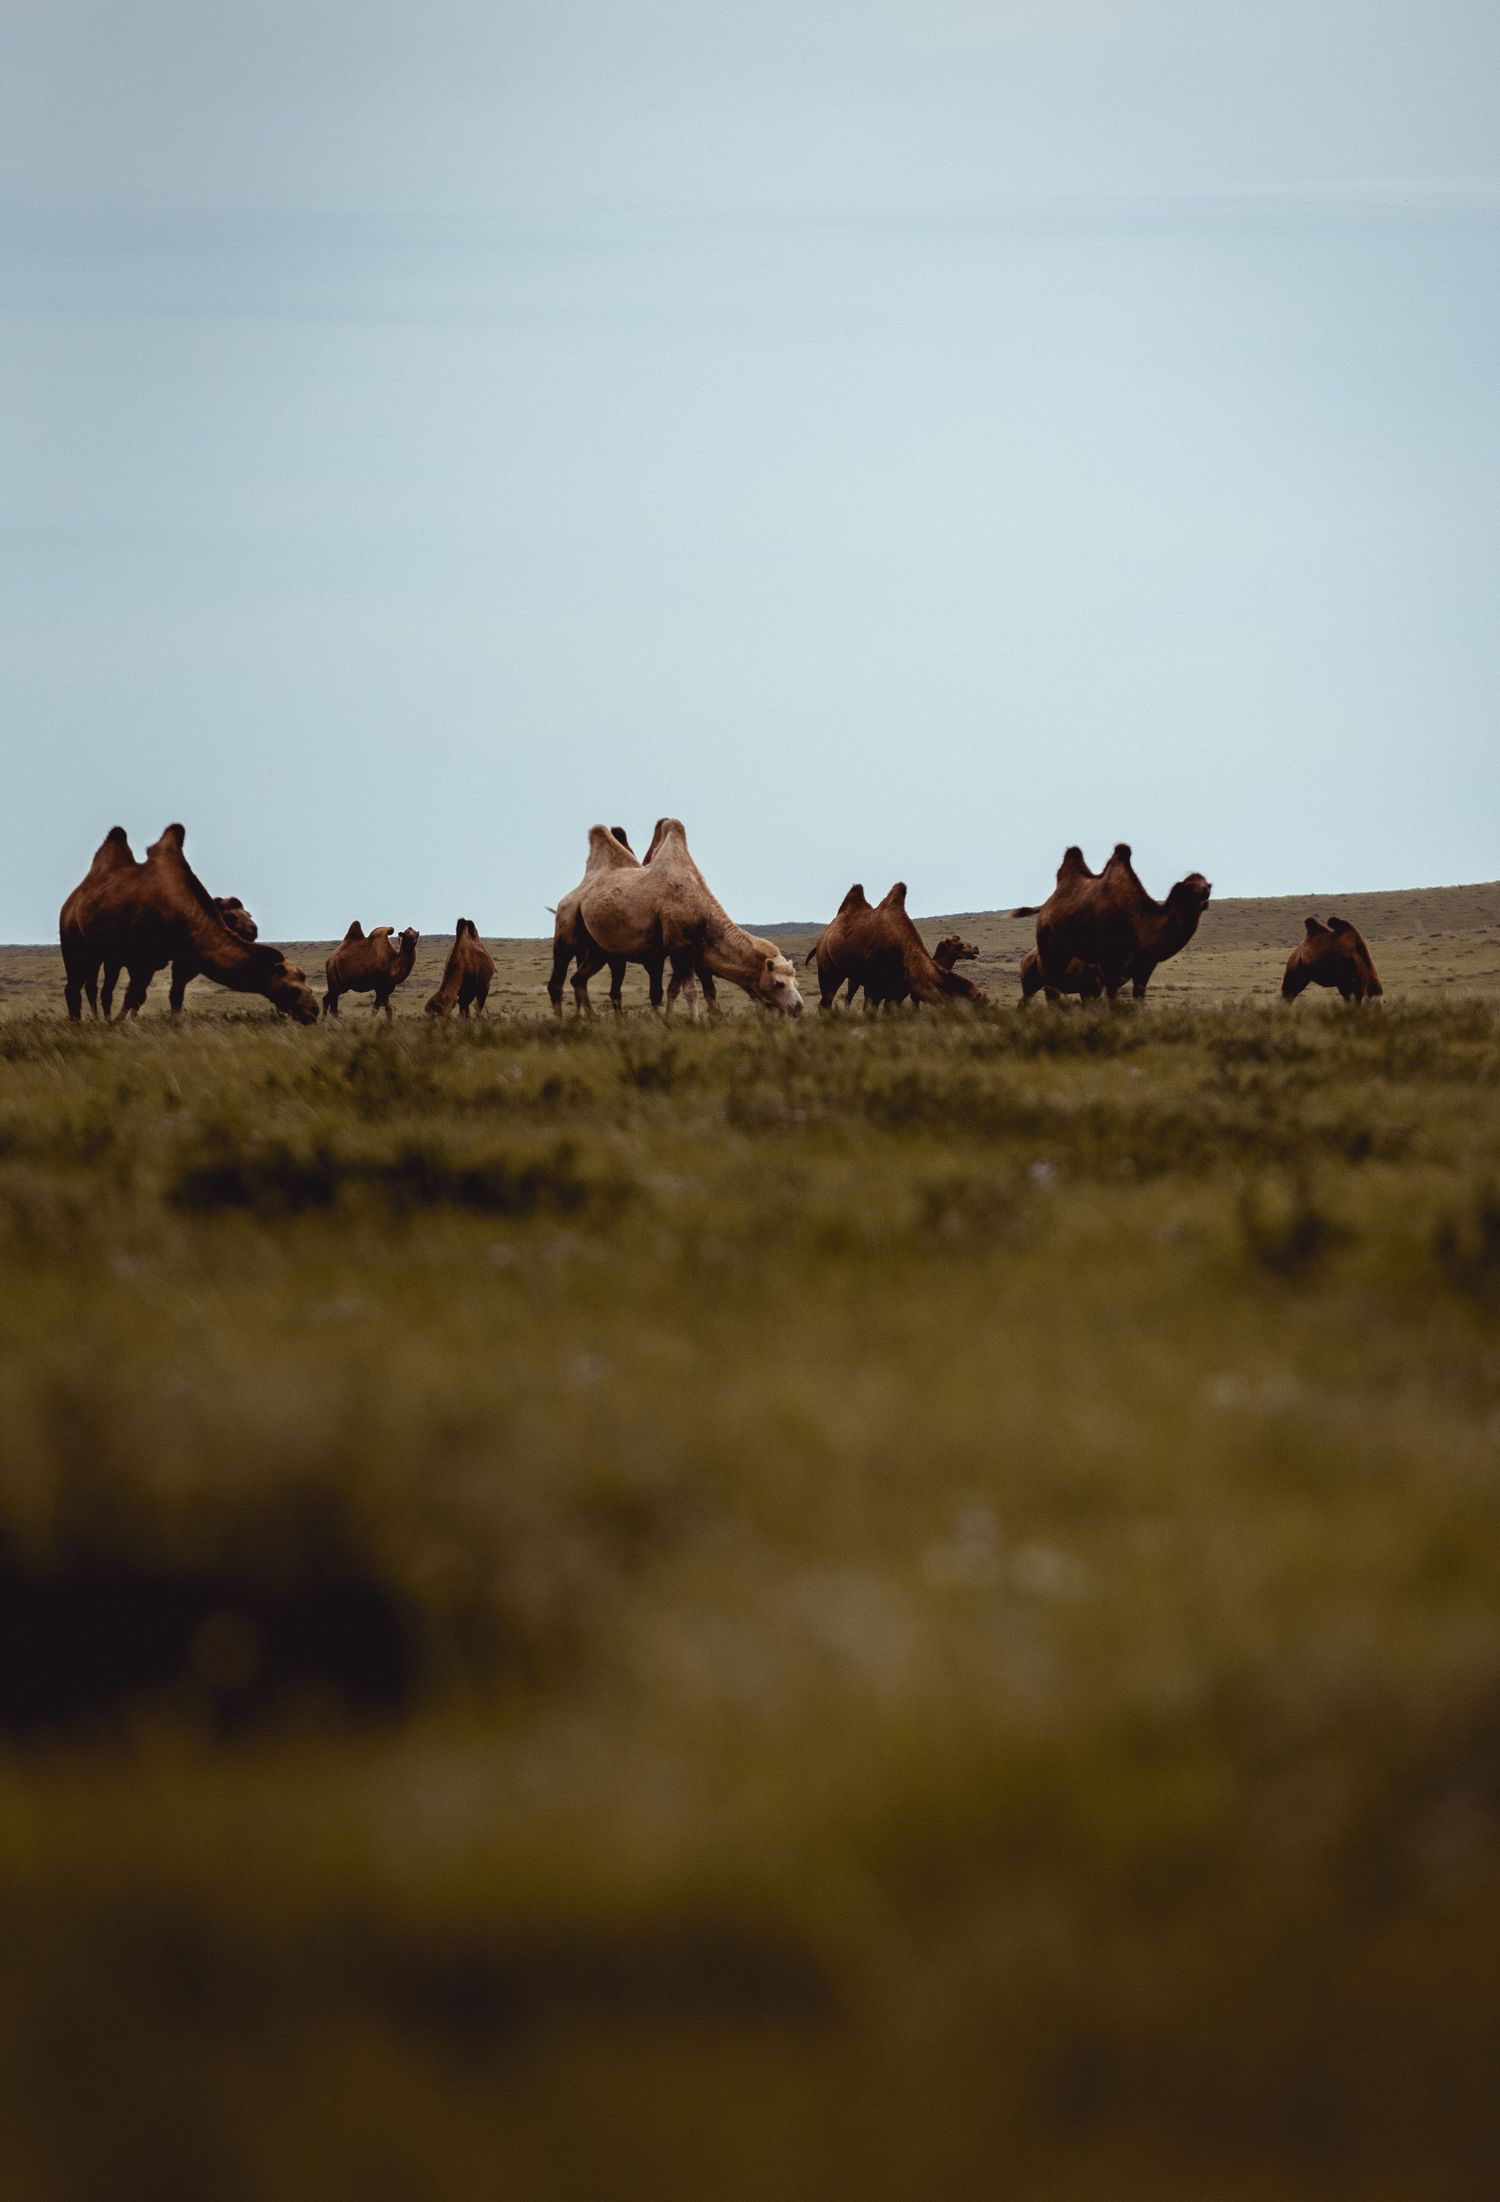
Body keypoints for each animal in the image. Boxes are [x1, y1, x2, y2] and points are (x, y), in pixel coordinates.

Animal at [59, 825, 319, 1024]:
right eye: (293, 988)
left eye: (307, 984)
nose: (313, 1011)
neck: (186, 912)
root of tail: (72, 899)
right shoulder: (143, 959)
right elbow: (134, 995)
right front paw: (119, 1023)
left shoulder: (178, 957)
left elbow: (172, 995)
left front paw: (174, 1022)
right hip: (74, 941)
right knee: (75, 986)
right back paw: (78, 1024)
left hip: (102, 953)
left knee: (95, 988)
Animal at [575, 818, 802, 1016]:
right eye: (779, 983)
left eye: (796, 982)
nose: (798, 1007)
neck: (702, 912)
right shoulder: (680, 946)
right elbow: (692, 991)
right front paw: (696, 1022)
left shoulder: (690, 951)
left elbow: (678, 990)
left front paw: (670, 1020)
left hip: (602, 950)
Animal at [805, 884, 987, 1012]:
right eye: (977, 999)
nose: (976, 949)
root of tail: (824, 936)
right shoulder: (877, 985)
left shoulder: (896, 991)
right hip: (828, 966)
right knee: (827, 1001)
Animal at [1012, 843, 1211, 1001]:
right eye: (1190, 886)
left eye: (1208, 884)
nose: (1205, 896)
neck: (1141, 924)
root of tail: (1045, 907)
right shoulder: (1110, 961)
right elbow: (1112, 999)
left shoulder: (1145, 963)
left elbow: (1138, 998)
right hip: (1048, 949)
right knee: (1049, 989)